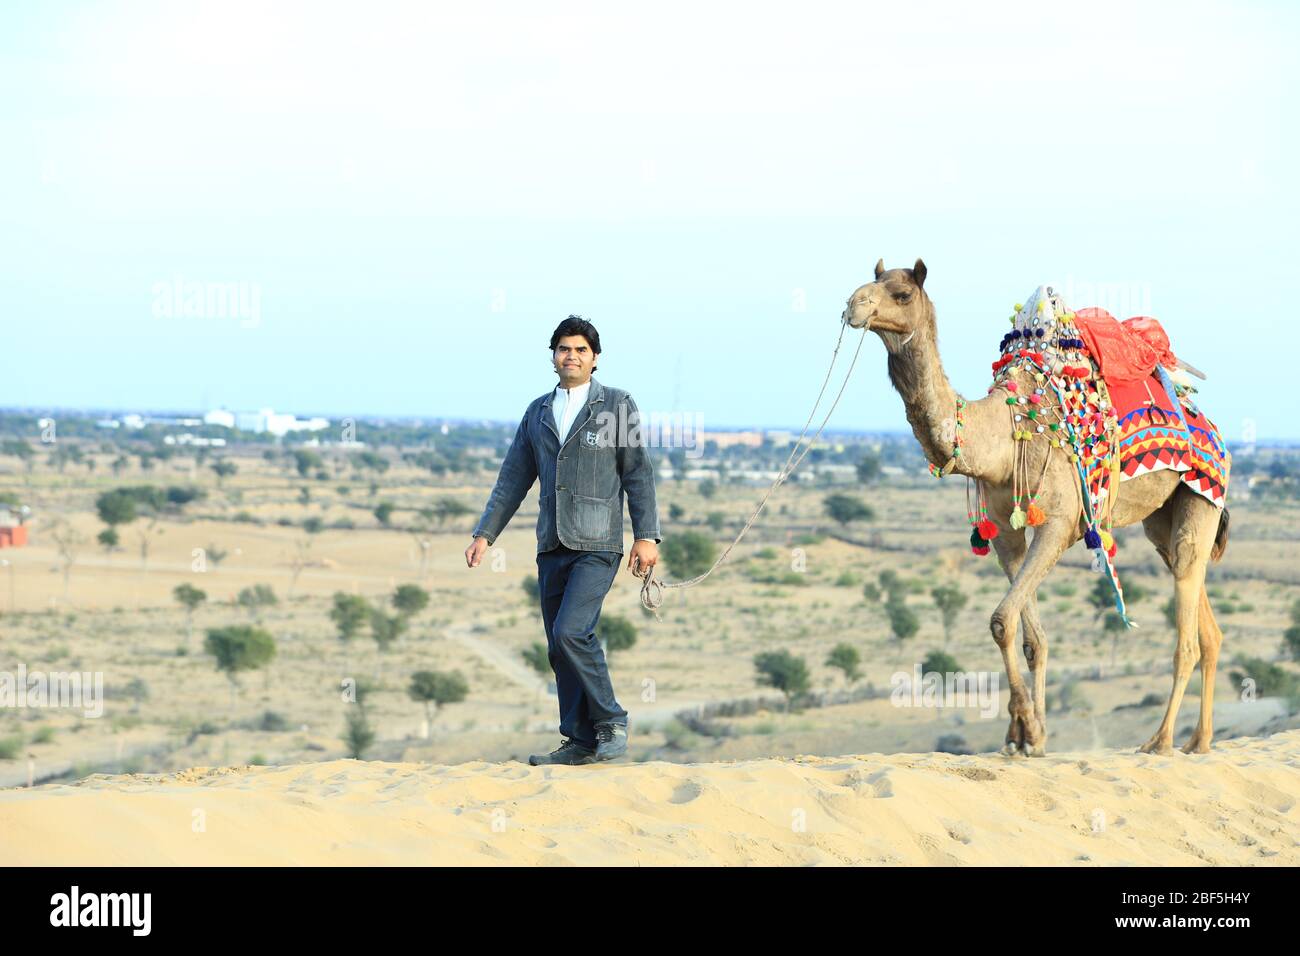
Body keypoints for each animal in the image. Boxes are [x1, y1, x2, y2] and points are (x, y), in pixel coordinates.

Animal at [842, 260, 1227, 754]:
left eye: (902, 293)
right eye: (873, 282)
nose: (854, 305)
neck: (1004, 435)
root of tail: (1210, 426)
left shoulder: (1060, 523)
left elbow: (1002, 619)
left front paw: (1024, 728)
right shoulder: (1006, 531)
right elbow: (1028, 638)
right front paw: (1032, 736)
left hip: (1203, 489)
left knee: (1188, 627)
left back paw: (1160, 741)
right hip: (1162, 516)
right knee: (1202, 613)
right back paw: (1199, 741)